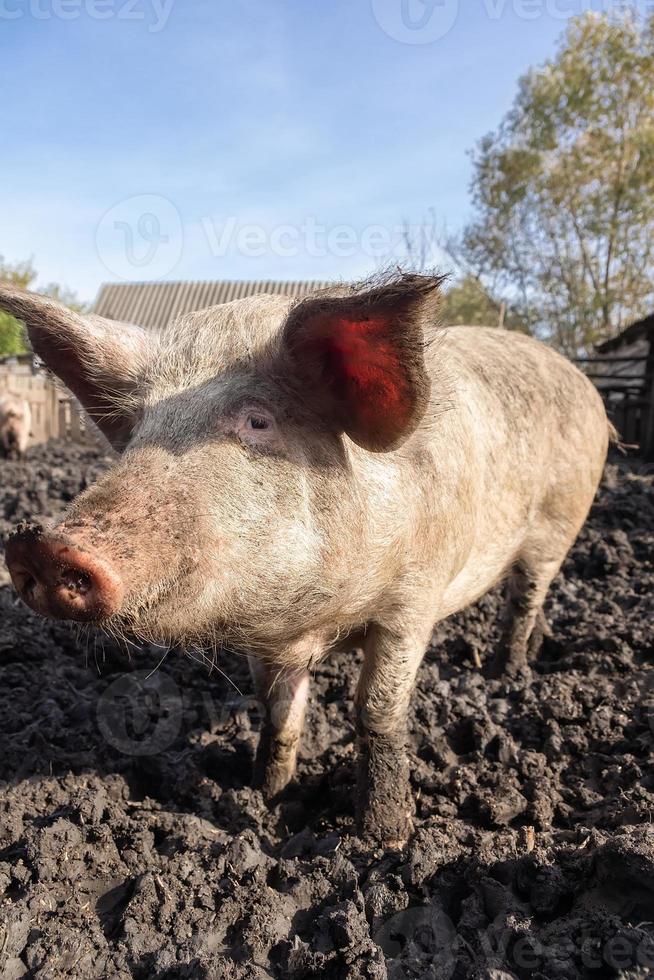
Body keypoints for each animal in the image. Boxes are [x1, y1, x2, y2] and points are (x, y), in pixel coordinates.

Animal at [0, 276, 608, 848]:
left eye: (258, 422)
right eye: (137, 431)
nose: (42, 545)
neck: (314, 622)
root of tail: (585, 386)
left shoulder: (413, 601)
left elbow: (377, 711)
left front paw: (385, 840)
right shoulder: (263, 635)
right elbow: (277, 709)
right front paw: (267, 796)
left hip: (561, 520)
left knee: (527, 594)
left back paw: (507, 672)